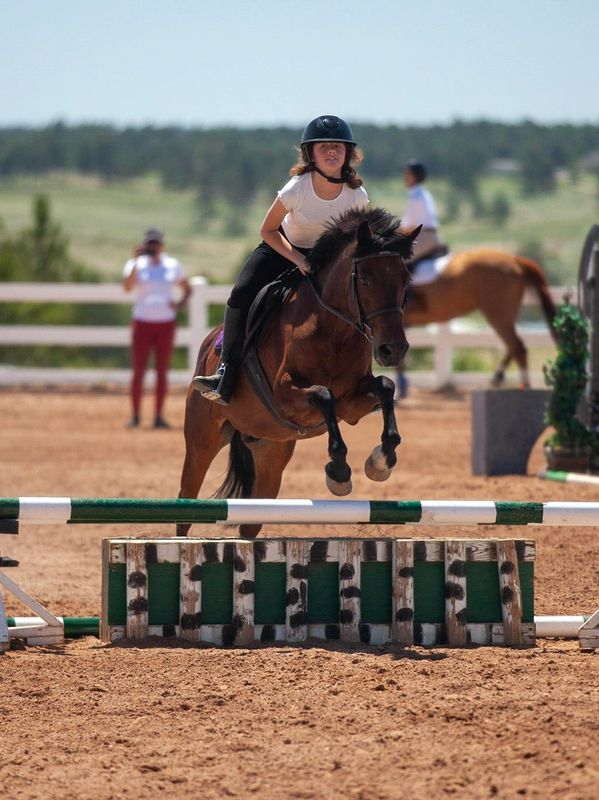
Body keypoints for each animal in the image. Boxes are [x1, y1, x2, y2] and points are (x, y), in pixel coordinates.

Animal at [178, 209, 418, 540]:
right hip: (203, 440)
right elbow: (323, 394)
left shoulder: (351, 404)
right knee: (186, 501)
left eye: (405, 280)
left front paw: (381, 461)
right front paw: (339, 473)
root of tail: (207, 345)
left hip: (271, 452)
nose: (392, 350)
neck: (333, 328)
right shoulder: (285, 395)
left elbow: (385, 386)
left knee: (251, 521)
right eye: (366, 280)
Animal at [406, 250, 556, 388]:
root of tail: (515, 260)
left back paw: (523, 385)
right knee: (514, 345)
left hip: (498, 316)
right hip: (504, 317)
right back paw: (498, 377)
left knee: (517, 347)